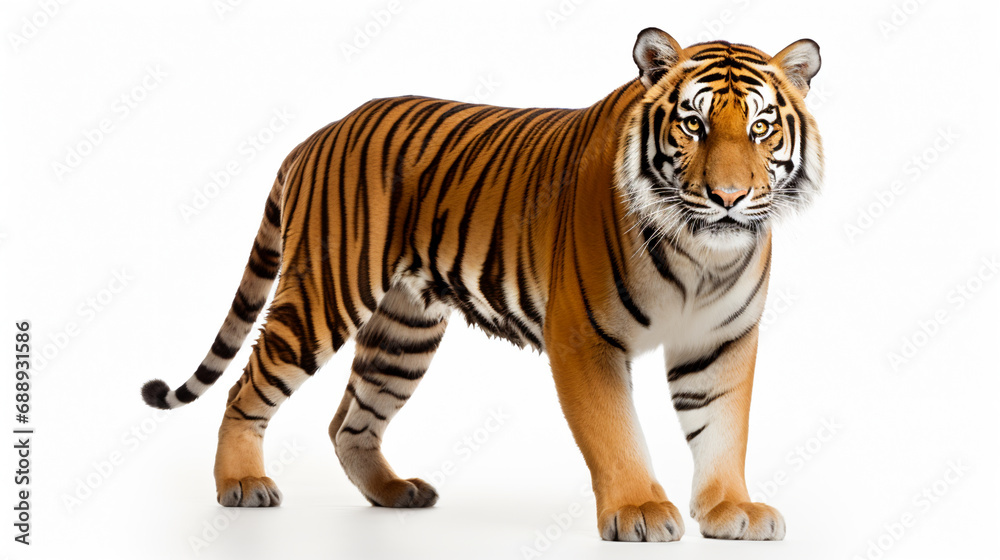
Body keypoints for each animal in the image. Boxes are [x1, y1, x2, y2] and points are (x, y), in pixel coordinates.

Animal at [141, 27, 822, 542]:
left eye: (760, 128)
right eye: (693, 126)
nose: (728, 197)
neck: (702, 254)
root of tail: (320, 132)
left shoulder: (722, 341)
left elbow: (723, 427)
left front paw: (730, 509)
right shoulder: (585, 339)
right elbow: (616, 432)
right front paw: (639, 511)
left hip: (404, 332)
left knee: (348, 422)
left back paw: (395, 492)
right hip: (323, 297)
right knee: (246, 388)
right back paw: (241, 484)